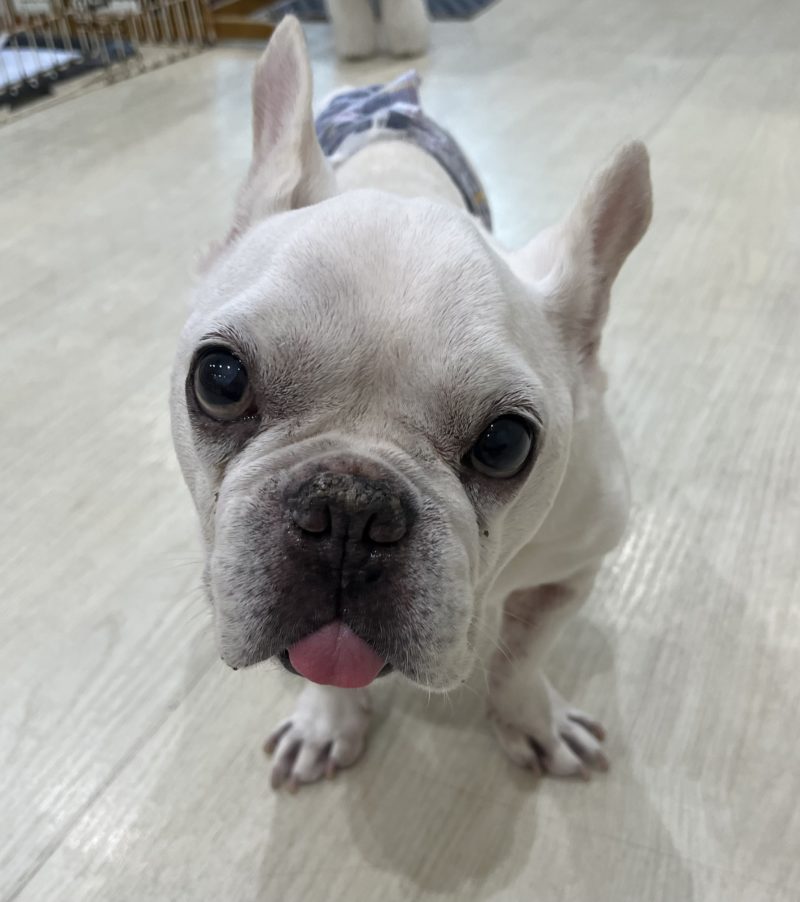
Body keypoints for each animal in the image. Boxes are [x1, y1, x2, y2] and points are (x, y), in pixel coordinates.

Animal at [170, 16, 652, 791]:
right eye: (220, 381)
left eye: (506, 444)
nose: (348, 508)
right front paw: (327, 721)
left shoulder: (570, 571)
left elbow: (523, 654)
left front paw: (531, 718)